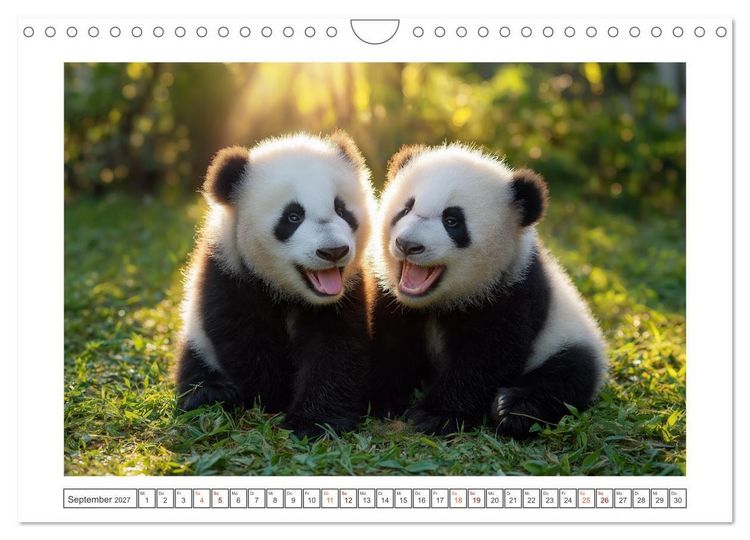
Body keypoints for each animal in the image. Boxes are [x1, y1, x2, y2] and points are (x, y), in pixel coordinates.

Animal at [176, 132, 376, 438]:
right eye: (293, 217)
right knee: (195, 366)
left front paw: (314, 421)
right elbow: (245, 338)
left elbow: (335, 346)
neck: (290, 292)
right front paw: (273, 398)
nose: (333, 251)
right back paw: (210, 395)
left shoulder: (347, 291)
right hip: (197, 339)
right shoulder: (230, 273)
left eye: (342, 210)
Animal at [369, 143, 607, 438]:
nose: (407, 244)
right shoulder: (393, 298)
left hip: (566, 336)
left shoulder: (511, 291)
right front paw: (386, 400)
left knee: (569, 373)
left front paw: (434, 416)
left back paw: (514, 409)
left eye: (452, 220)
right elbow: (391, 344)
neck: (440, 302)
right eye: (405, 209)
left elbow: (486, 358)